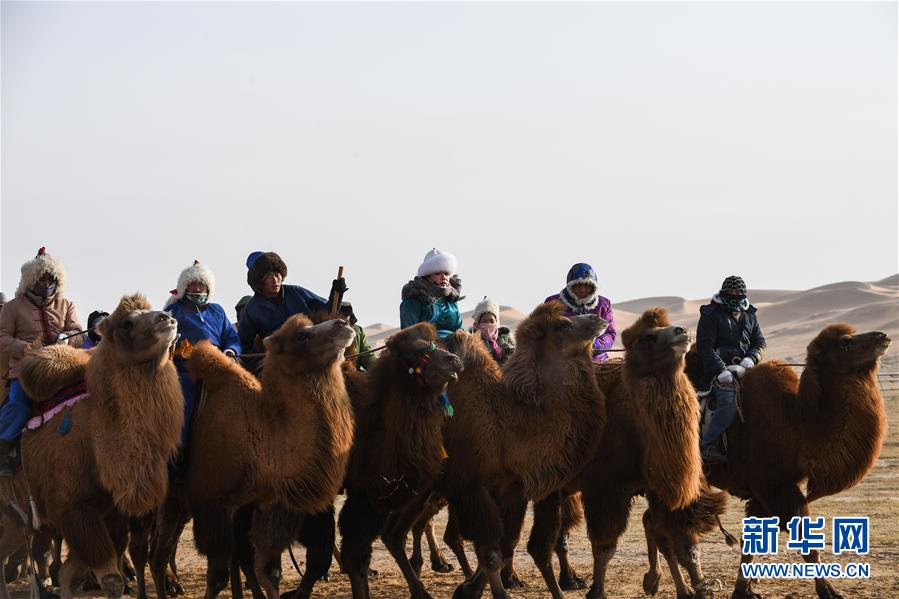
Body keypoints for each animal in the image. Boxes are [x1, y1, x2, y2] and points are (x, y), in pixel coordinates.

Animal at [0, 296, 183, 599]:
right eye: (126, 323)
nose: (167, 317)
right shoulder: (76, 510)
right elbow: (110, 578)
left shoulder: (111, 513)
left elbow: (72, 573)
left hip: (16, 517)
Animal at [160, 314, 356, 599]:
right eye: (302, 336)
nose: (342, 323)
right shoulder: (212, 504)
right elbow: (218, 577)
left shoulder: (267, 503)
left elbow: (268, 571)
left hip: (175, 501)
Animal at [338, 324, 464, 599]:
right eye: (416, 350)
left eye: (437, 343)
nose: (454, 360)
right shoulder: (364, 495)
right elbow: (358, 552)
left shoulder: (394, 495)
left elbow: (366, 551)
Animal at [440, 304, 608, 599]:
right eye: (563, 324)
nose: (598, 318)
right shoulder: (469, 485)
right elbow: (491, 551)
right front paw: (485, 590)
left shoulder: (512, 488)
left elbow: (507, 544)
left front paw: (469, 588)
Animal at [684, 326, 888, 599]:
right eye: (846, 343)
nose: (882, 337)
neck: (798, 424)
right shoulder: (776, 487)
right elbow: (806, 541)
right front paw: (828, 591)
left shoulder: (762, 494)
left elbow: (752, 542)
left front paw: (744, 590)